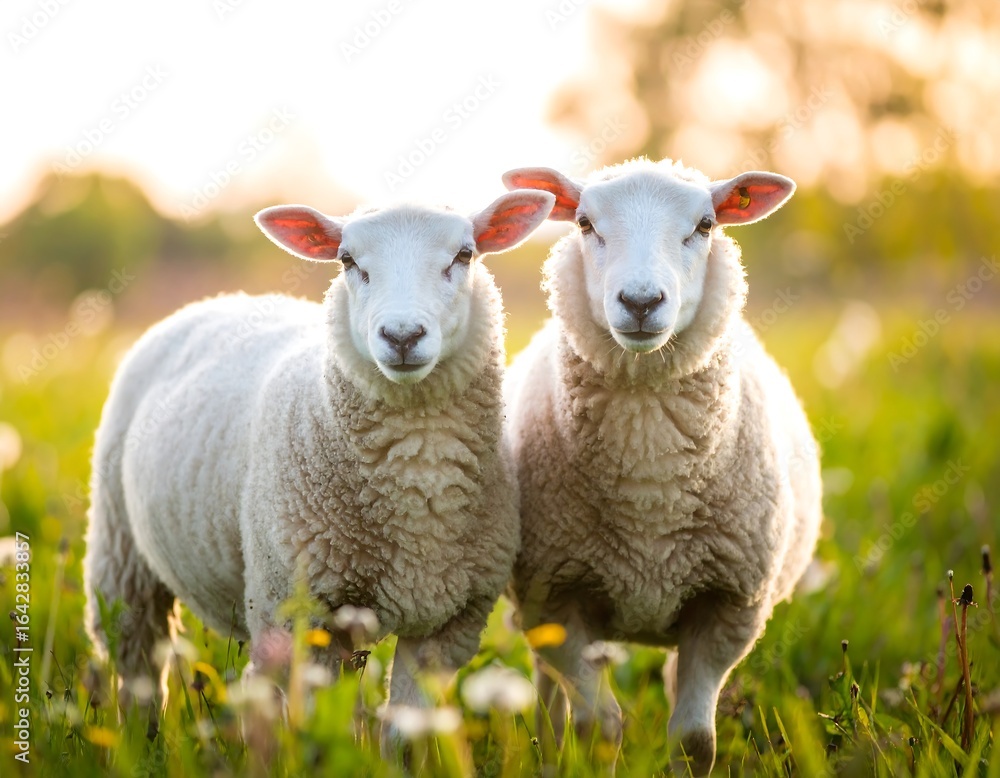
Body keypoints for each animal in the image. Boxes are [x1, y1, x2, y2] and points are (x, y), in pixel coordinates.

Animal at [82, 189, 556, 745]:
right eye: (348, 261)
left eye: (464, 255)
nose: (401, 335)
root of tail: (216, 298)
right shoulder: (297, 612)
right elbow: (319, 731)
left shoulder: (448, 624)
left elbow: (403, 736)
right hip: (121, 553)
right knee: (136, 659)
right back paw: (142, 740)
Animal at [501, 158, 822, 775]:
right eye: (584, 223)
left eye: (705, 224)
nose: (641, 301)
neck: (650, 489)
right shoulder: (559, 596)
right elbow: (598, 727)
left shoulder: (729, 606)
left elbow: (694, 740)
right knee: (550, 694)